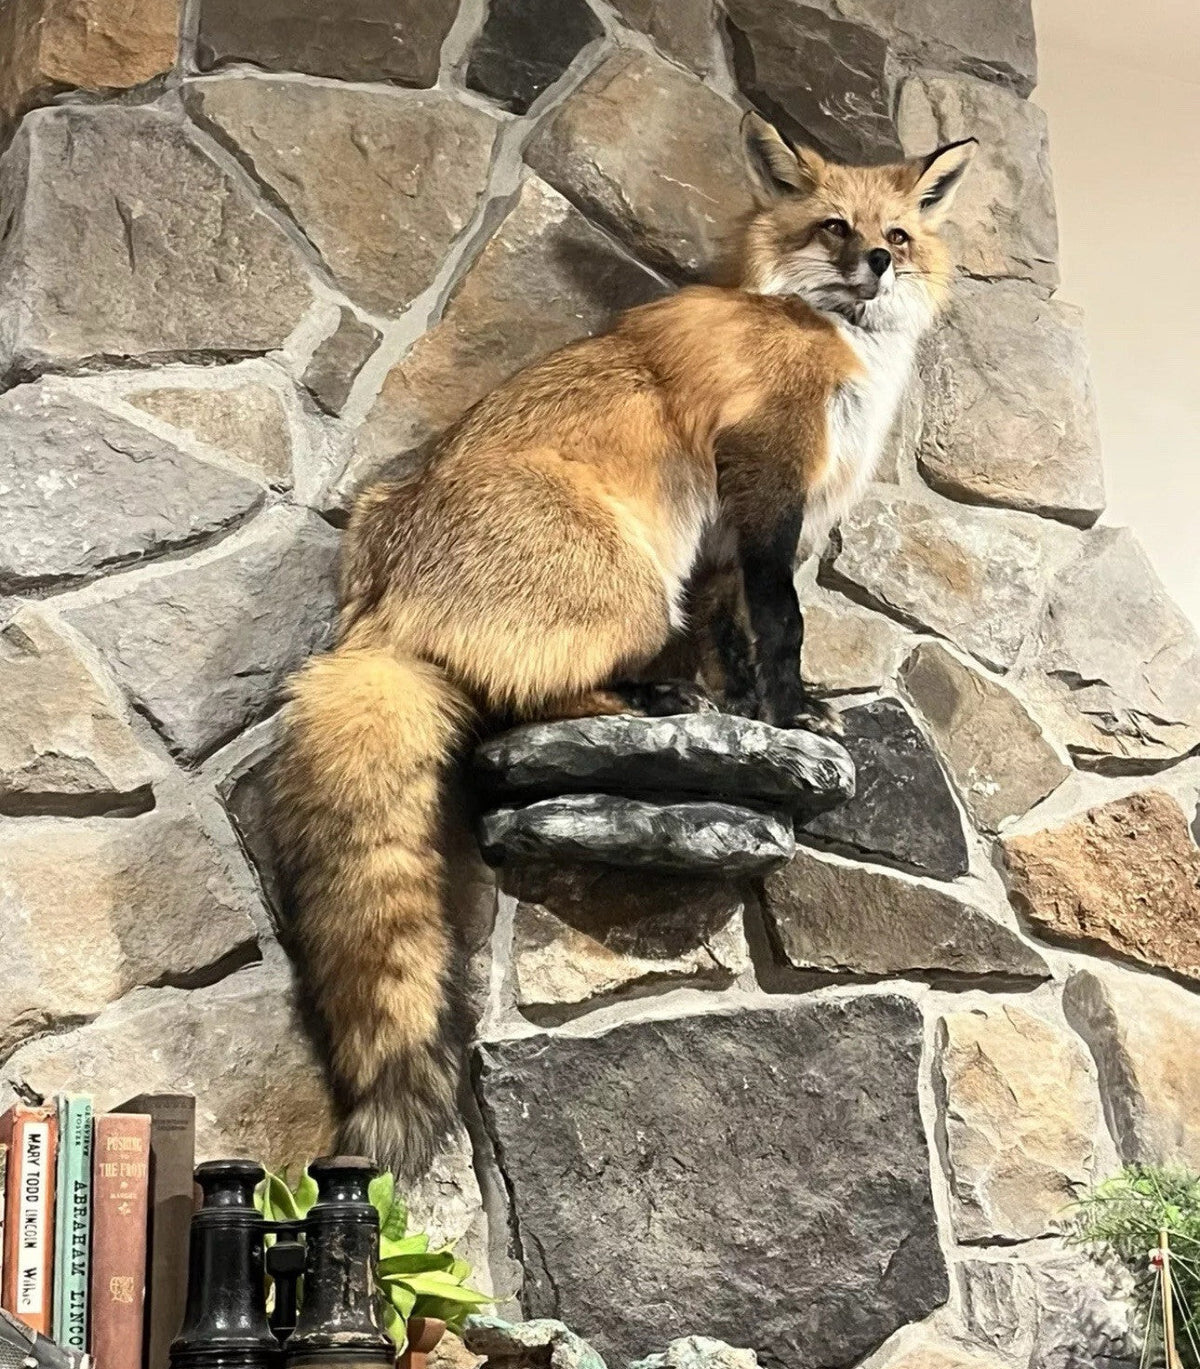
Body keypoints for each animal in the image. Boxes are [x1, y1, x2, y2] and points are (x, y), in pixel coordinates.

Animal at [273, 113, 977, 1177]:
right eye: (834, 227)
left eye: (895, 234)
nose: (877, 266)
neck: (824, 334)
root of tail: (380, 595)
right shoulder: (766, 477)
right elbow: (784, 623)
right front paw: (791, 713)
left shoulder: (726, 546)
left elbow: (738, 636)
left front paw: (757, 708)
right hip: (641, 594)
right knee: (518, 709)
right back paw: (653, 702)